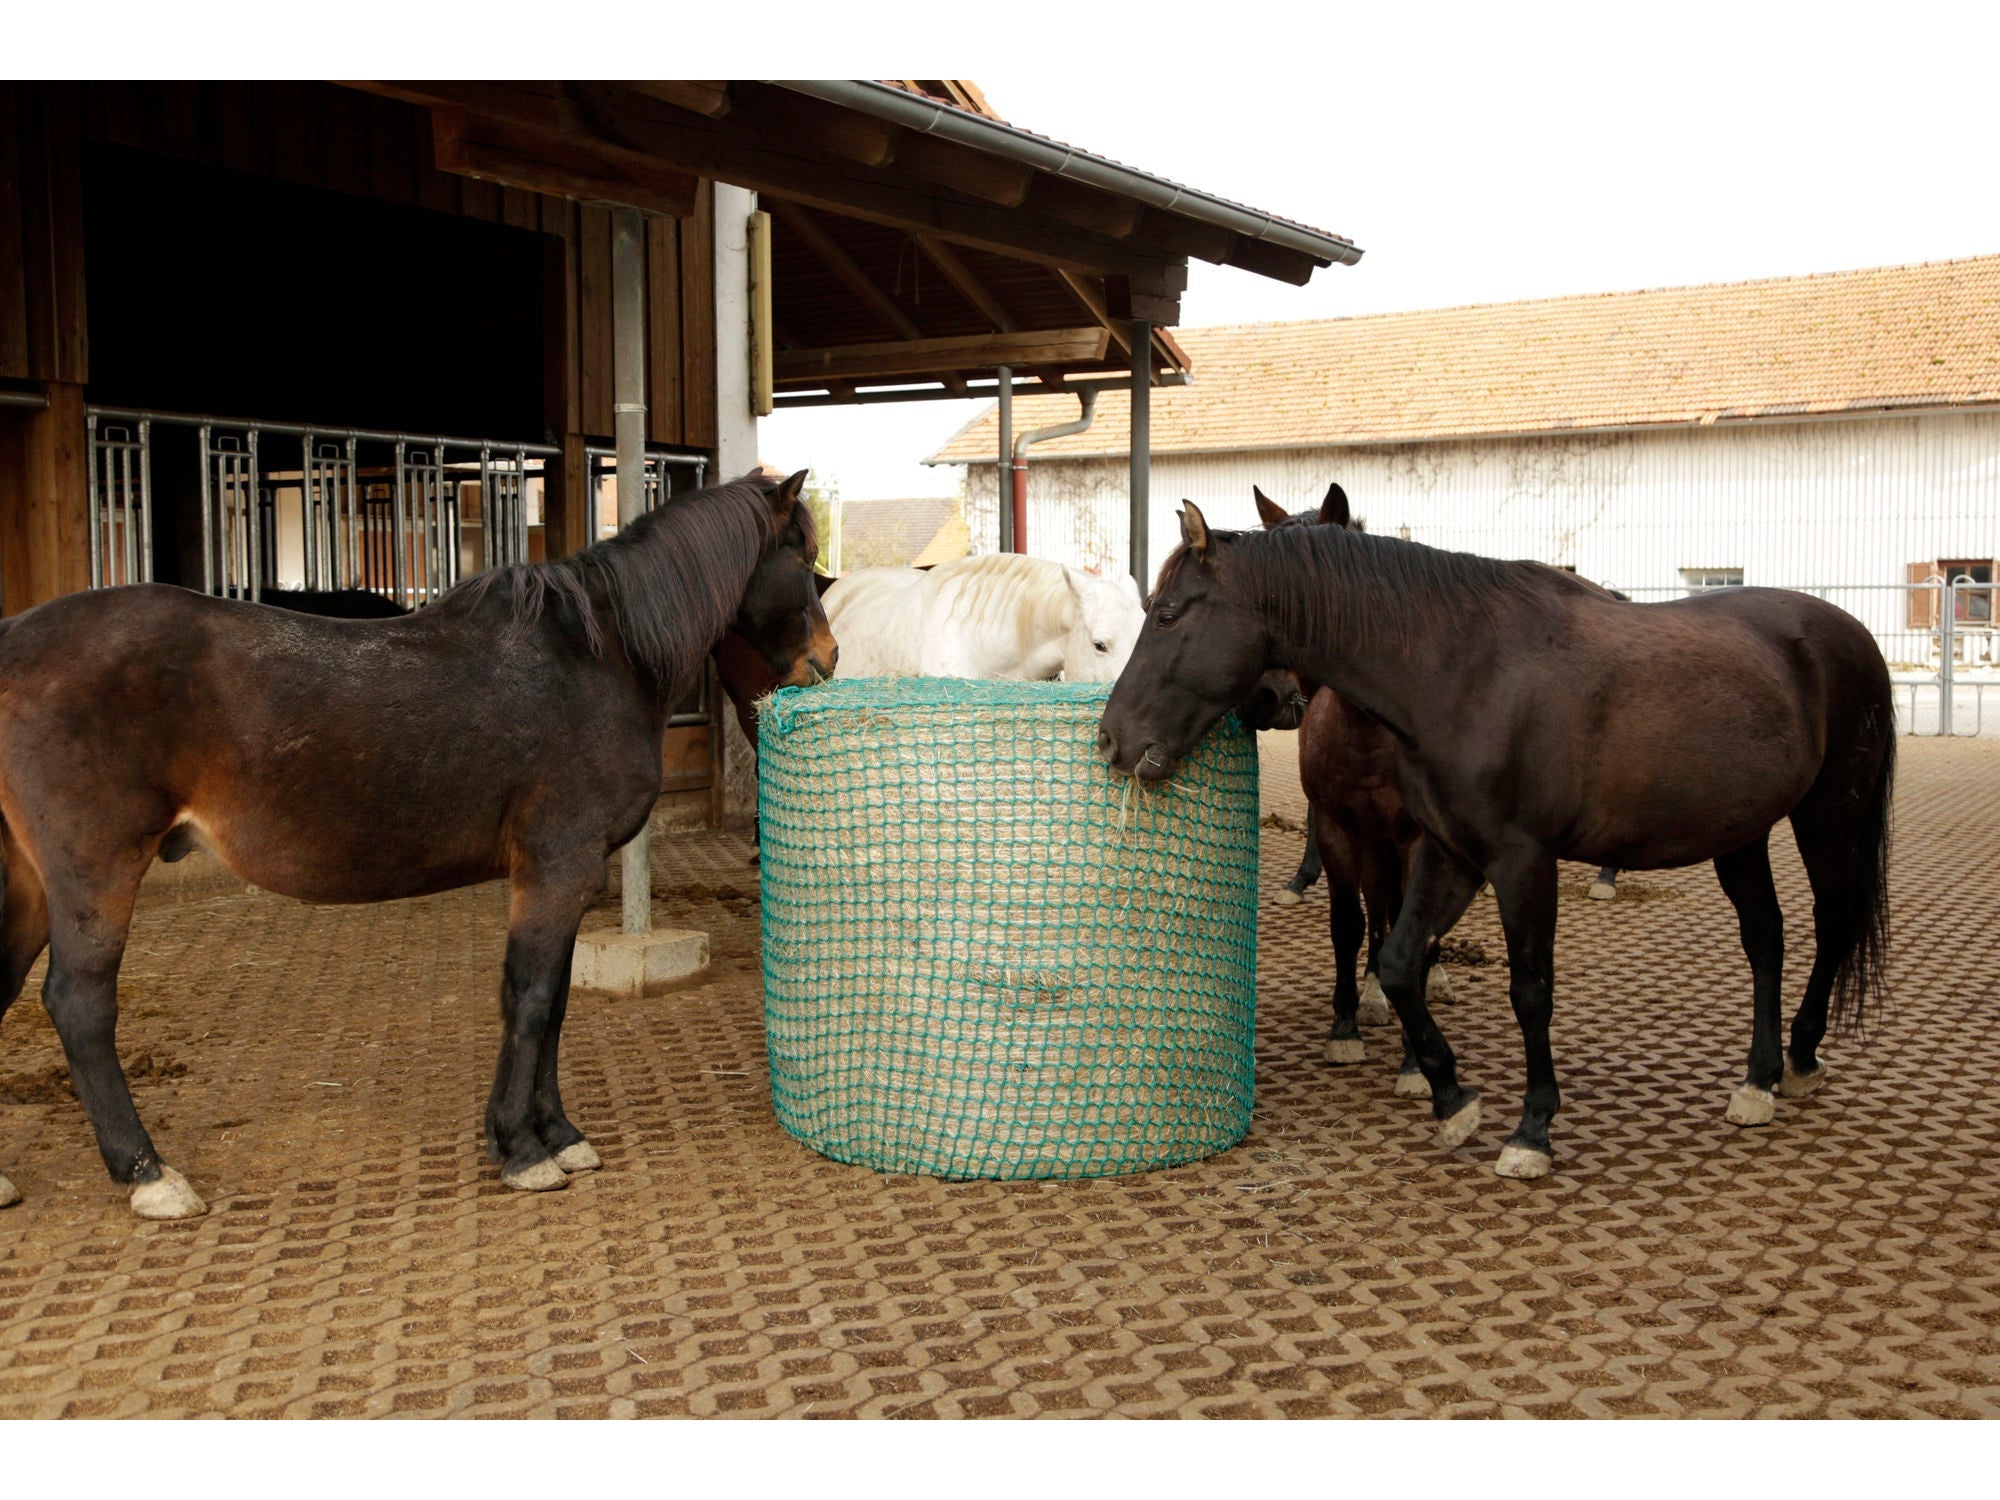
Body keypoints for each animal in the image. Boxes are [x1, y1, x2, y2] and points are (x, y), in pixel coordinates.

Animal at [0, 469, 833, 1219]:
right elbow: (530, 998)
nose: (825, 661)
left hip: (32, 881)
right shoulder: (557, 868)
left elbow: (557, 1001)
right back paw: (147, 1173)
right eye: (804, 557)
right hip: (96, 872)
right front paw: (521, 1148)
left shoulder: (566, 877)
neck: (597, 655)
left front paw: (559, 1134)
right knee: (79, 1004)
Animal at [1099, 502, 1894, 1179]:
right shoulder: (1450, 852)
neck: (1463, 671)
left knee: (1831, 924)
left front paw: (1532, 1129)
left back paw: (1801, 1056)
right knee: (1765, 938)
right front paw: (1451, 1097)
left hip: (1829, 816)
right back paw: (1759, 1078)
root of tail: (1844, 632)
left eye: (1166, 613)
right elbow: (1398, 961)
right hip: (1740, 832)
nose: (1112, 739)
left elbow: (1530, 990)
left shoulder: (1522, 861)